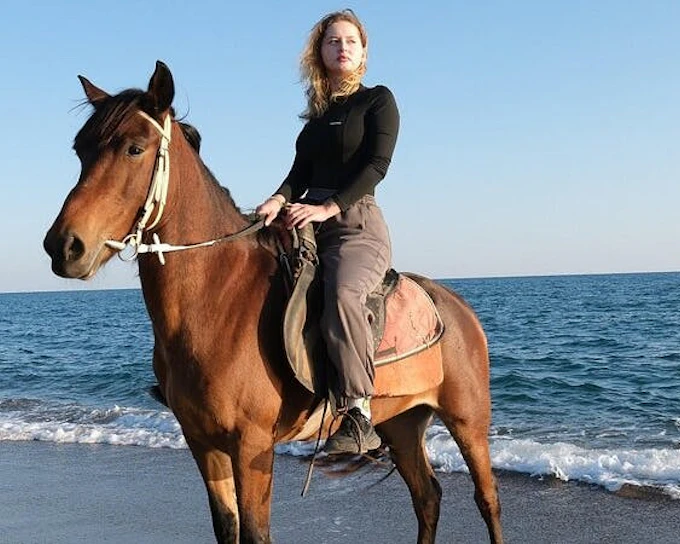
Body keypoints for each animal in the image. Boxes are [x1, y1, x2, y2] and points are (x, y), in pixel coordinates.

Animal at [43, 61, 503, 544]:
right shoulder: (203, 444)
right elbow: (227, 527)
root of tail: (457, 306)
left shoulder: (252, 446)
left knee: (486, 499)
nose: (63, 246)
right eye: (80, 150)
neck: (218, 300)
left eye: (134, 148)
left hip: (468, 420)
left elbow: (254, 533)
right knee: (427, 497)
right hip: (401, 421)